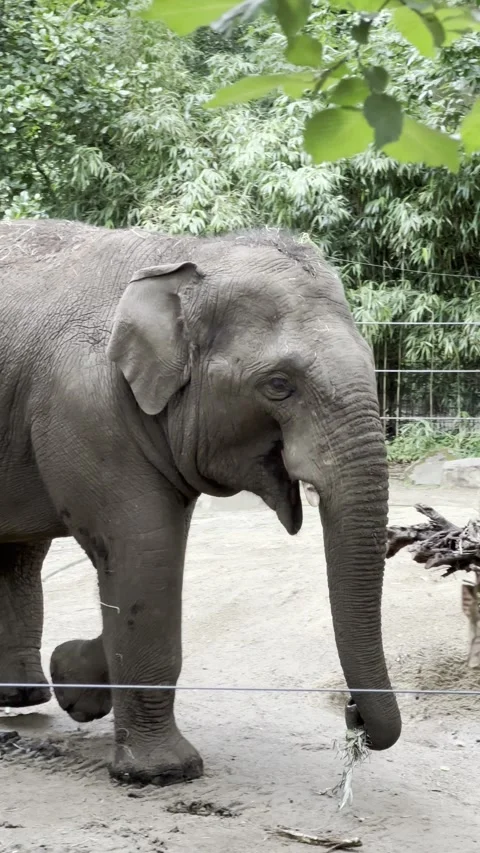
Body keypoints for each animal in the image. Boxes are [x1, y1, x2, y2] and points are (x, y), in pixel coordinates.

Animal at [0, 218, 401, 786]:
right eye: (279, 385)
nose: (353, 713)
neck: (185, 257)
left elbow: (147, 563)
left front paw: (75, 681)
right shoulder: (85, 407)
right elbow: (144, 549)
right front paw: (165, 772)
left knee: (19, 551)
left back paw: (24, 695)